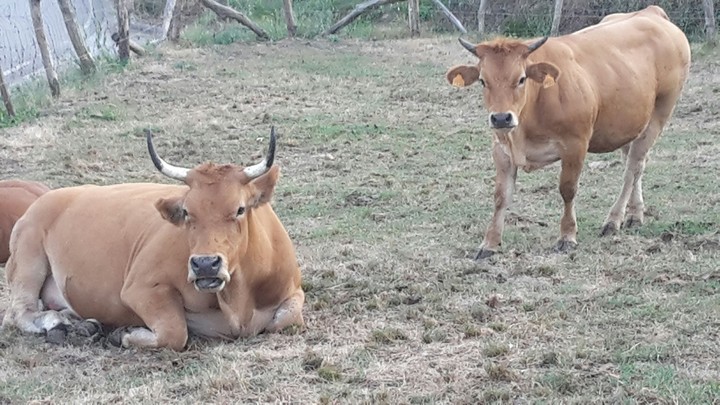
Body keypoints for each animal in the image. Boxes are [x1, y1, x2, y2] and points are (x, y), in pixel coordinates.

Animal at [2, 128, 304, 350]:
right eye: (187, 212)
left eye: (240, 209)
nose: (205, 264)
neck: (237, 300)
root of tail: (46, 197)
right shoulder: (139, 288)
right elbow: (174, 333)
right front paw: (123, 333)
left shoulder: (294, 291)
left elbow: (285, 319)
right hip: (28, 262)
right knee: (19, 312)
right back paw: (58, 323)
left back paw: (81, 323)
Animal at [445, 5, 691, 259]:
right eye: (483, 81)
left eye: (521, 79)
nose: (502, 117)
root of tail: (651, 12)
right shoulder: (501, 149)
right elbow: (501, 196)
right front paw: (490, 243)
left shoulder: (575, 146)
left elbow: (568, 190)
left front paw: (567, 236)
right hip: (630, 124)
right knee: (636, 165)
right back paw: (634, 214)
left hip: (659, 114)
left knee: (632, 169)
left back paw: (613, 220)